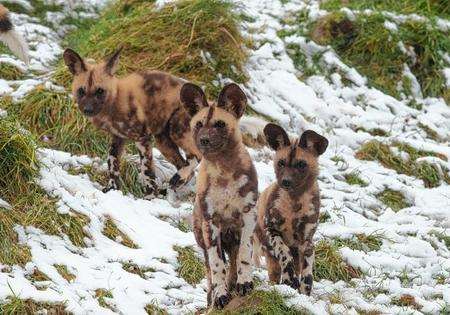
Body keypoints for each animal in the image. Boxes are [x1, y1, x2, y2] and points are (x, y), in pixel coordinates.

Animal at [62, 48, 200, 199]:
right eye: (81, 91)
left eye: (100, 91)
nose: (88, 109)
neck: (113, 104)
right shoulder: (117, 138)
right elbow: (112, 162)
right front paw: (112, 188)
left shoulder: (142, 139)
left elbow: (146, 171)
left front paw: (150, 196)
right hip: (163, 142)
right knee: (185, 166)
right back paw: (171, 187)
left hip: (176, 129)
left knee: (196, 157)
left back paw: (176, 180)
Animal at [179, 82, 256, 310]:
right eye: (199, 124)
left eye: (220, 124)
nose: (204, 140)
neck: (224, 172)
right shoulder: (211, 224)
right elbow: (216, 265)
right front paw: (221, 295)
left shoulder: (247, 216)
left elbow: (244, 256)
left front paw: (245, 283)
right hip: (204, 238)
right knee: (211, 269)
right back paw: (212, 298)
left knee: (235, 260)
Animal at [255, 123, 328, 296]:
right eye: (281, 163)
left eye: (301, 164)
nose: (286, 182)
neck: (294, 201)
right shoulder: (272, 230)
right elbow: (284, 253)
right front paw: (290, 281)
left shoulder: (306, 243)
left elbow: (307, 275)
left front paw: (304, 295)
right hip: (269, 255)